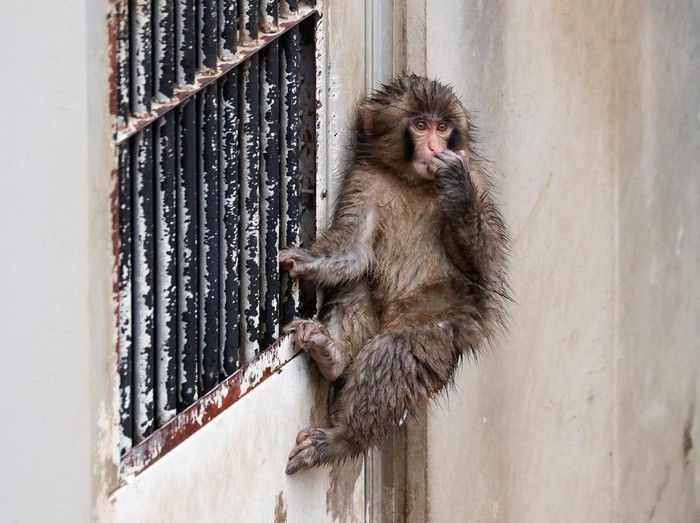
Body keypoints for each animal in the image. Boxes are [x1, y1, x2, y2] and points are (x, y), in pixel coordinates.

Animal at [279, 74, 509, 474]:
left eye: (442, 127)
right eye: (419, 125)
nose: (433, 146)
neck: (412, 181)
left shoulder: (477, 176)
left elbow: (486, 267)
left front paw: (457, 186)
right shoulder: (364, 179)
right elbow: (353, 250)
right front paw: (305, 262)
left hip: (445, 327)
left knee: (394, 352)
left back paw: (344, 440)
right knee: (356, 285)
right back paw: (332, 355)